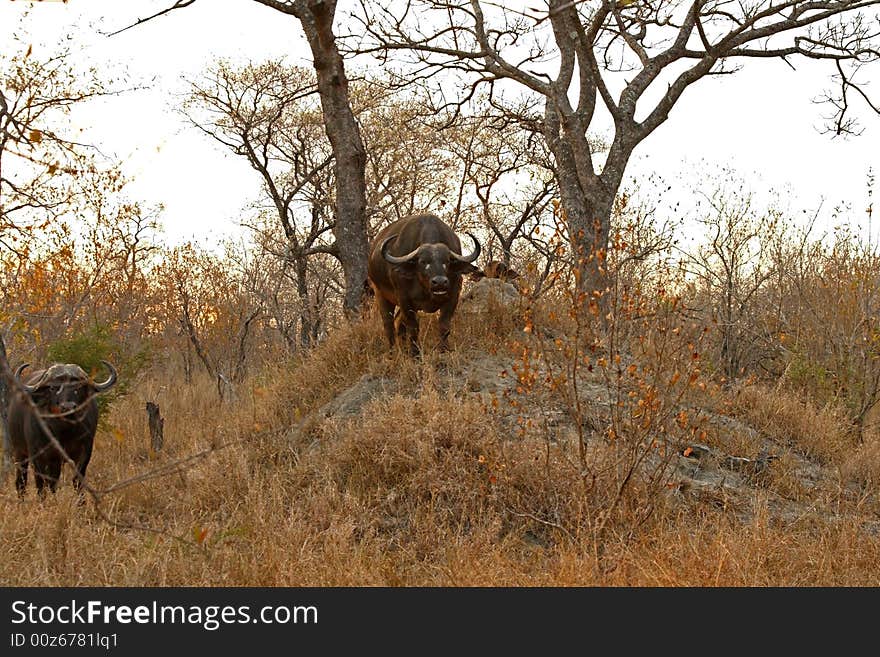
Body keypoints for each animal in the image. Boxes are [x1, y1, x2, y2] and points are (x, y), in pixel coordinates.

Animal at [7, 362, 117, 494]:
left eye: (78, 387)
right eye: (52, 388)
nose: (68, 407)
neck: (64, 432)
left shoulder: (84, 451)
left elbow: (77, 480)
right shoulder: (38, 455)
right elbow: (41, 484)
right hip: (19, 452)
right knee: (21, 481)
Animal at [366, 213, 482, 354]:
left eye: (447, 261)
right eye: (422, 262)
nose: (440, 282)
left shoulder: (453, 296)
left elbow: (444, 325)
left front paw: (444, 349)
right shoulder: (404, 300)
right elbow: (413, 327)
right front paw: (415, 353)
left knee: (398, 323)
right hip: (380, 294)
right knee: (388, 324)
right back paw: (392, 351)